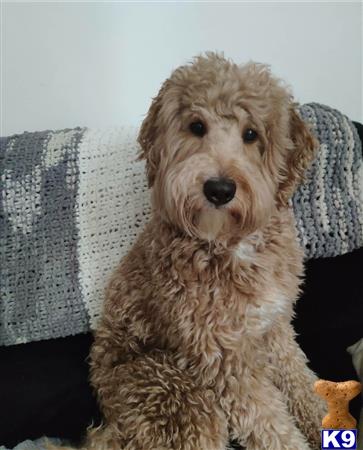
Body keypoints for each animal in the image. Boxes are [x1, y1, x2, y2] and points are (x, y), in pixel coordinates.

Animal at [55, 54, 328, 450]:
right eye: (197, 127)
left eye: (251, 134)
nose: (219, 189)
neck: (233, 244)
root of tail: (113, 421)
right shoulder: (223, 359)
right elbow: (270, 426)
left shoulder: (274, 327)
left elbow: (300, 380)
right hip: (179, 394)